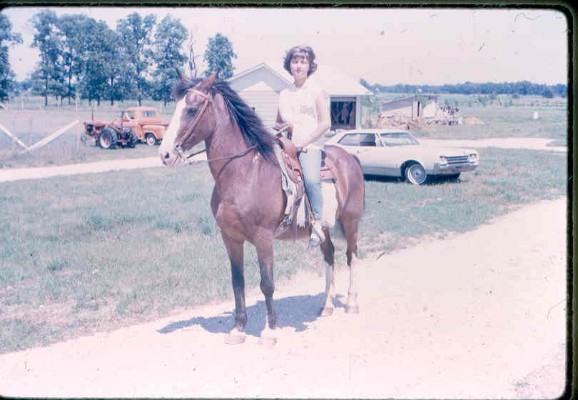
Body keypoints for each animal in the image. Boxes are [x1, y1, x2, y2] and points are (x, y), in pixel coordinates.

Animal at [158, 72, 364, 344]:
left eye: (191, 109)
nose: (165, 154)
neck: (245, 172)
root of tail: (350, 158)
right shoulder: (230, 238)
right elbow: (238, 282)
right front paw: (238, 329)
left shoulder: (263, 237)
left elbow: (267, 283)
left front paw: (269, 330)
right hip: (325, 229)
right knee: (329, 255)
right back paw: (327, 305)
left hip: (351, 221)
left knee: (352, 256)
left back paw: (351, 303)